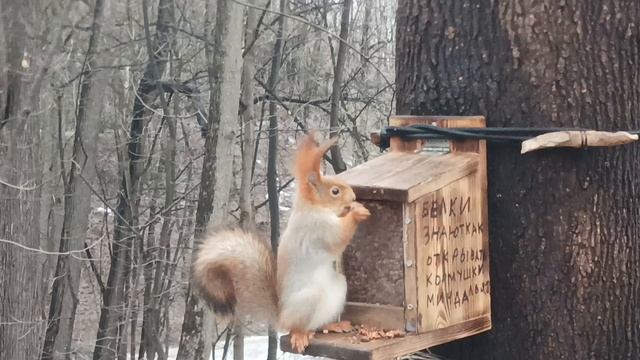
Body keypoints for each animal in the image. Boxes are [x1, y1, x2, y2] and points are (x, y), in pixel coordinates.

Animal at [190, 131, 370, 352]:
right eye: (335, 191)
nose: (353, 197)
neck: (312, 207)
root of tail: (280, 316)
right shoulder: (317, 227)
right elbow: (337, 237)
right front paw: (356, 213)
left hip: (338, 288)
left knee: (319, 323)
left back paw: (335, 325)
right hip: (307, 300)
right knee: (297, 326)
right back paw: (300, 335)